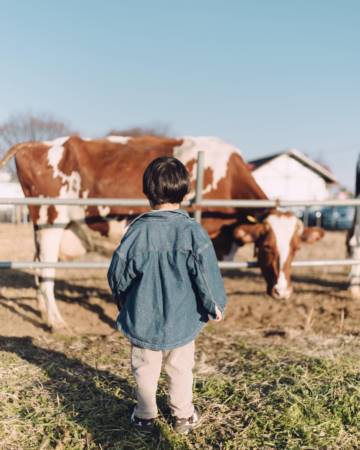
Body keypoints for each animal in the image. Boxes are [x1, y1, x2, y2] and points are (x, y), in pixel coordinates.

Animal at [0, 135, 324, 328]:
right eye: (267, 246)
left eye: (296, 248)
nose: (283, 291)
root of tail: (37, 144)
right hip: (50, 219)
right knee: (46, 271)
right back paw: (56, 321)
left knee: (38, 267)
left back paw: (44, 312)